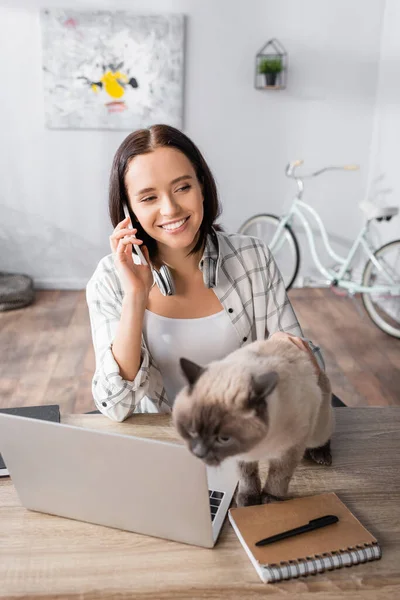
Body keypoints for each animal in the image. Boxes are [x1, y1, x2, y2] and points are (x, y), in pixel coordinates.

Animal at [172, 338, 334, 506]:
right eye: (192, 430)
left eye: (224, 438)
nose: (199, 453)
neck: (257, 447)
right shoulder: (241, 457)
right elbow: (246, 476)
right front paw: (248, 499)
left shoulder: (289, 451)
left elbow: (278, 477)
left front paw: (271, 499)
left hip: (316, 430)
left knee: (323, 437)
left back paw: (321, 455)